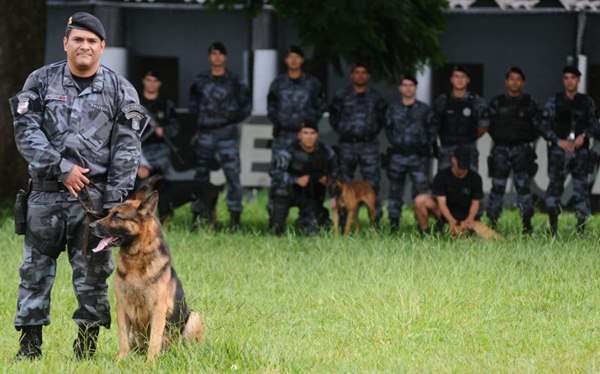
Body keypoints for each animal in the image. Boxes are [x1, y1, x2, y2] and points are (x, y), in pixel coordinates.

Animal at [90, 188, 204, 360]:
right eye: (109, 213)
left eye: (117, 216)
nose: (90, 225)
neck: (136, 258)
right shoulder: (121, 307)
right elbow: (122, 337)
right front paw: (121, 359)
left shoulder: (158, 310)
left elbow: (155, 340)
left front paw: (150, 362)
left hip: (194, 317)